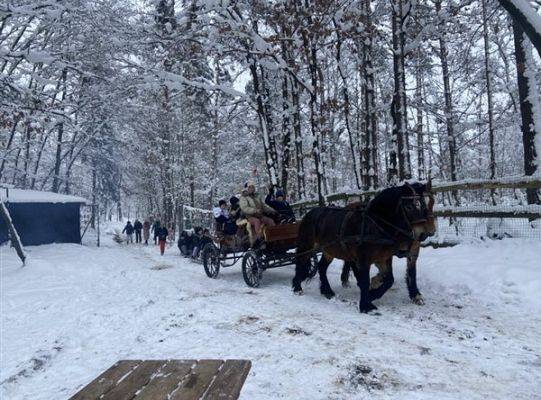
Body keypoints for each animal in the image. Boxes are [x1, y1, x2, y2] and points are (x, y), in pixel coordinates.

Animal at [292, 182, 434, 312]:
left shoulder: (384, 257)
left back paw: (327, 291)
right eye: (409, 206)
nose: (423, 234)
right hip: (307, 244)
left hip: (329, 250)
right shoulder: (363, 258)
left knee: (322, 267)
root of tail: (310, 212)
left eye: (425, 204)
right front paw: (366, 305)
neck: (375, 224)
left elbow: (390, 279)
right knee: (300, 261)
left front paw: (372, 295)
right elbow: (365, 280)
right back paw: (297, 288)